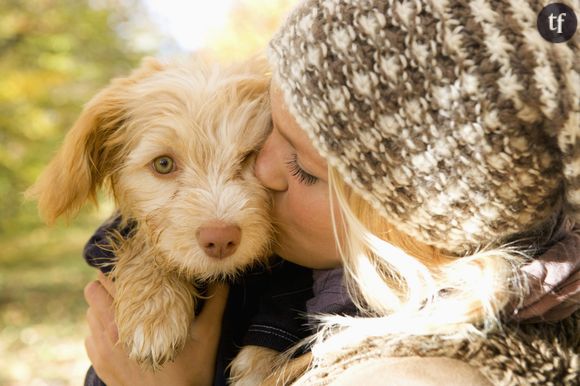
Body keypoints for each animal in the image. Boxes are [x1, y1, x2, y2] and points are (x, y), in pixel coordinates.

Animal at [27, 56, 280, 380]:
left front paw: (262, 363)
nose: (221, 239)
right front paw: (154, 310)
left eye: (251, 156)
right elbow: (147, 243)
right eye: (163, 164)